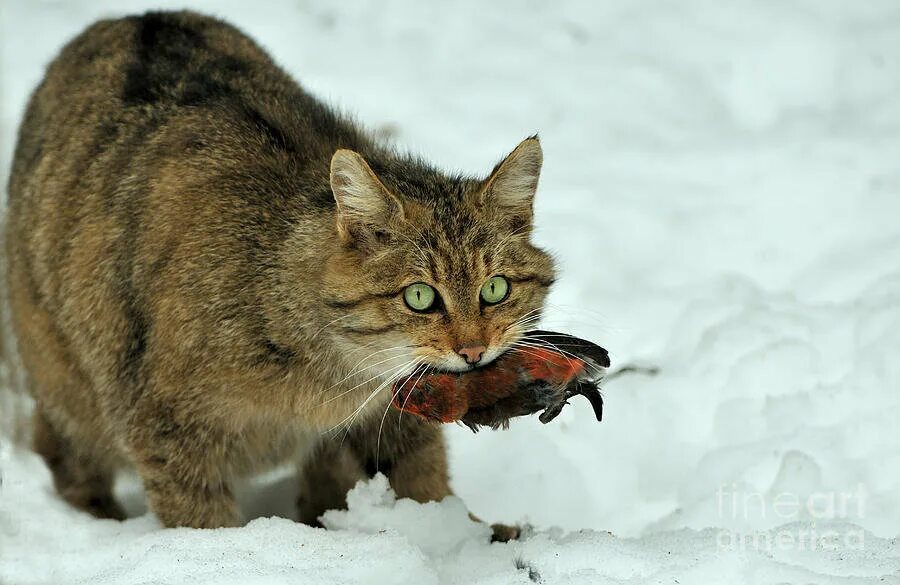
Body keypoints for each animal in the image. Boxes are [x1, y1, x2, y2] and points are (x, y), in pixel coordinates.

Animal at [5, 10, 556, 540]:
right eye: (419, 296)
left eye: (495, 289)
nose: (473, 350)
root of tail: (135, 17)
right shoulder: (165, 427)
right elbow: (200, 523)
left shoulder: (392, 412)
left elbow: (423, 479)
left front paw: (459, 536)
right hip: (71, 388)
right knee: (62, 449)